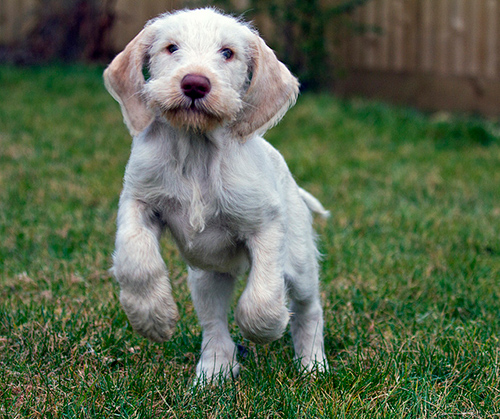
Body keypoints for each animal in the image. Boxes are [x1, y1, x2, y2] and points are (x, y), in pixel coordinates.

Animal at [103, 8, 328, 382]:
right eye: (171, 47)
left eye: (227, 53)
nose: (195, 83)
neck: (196, 148)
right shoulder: (138, 201)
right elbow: (137, 263)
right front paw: (152, 317)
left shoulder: (266, 225)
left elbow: (261, 298)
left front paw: (268, 327)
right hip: (208, 274)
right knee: (214, 323)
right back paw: (214, 370)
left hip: (298, 262)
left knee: (310, 306)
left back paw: (313, 364)